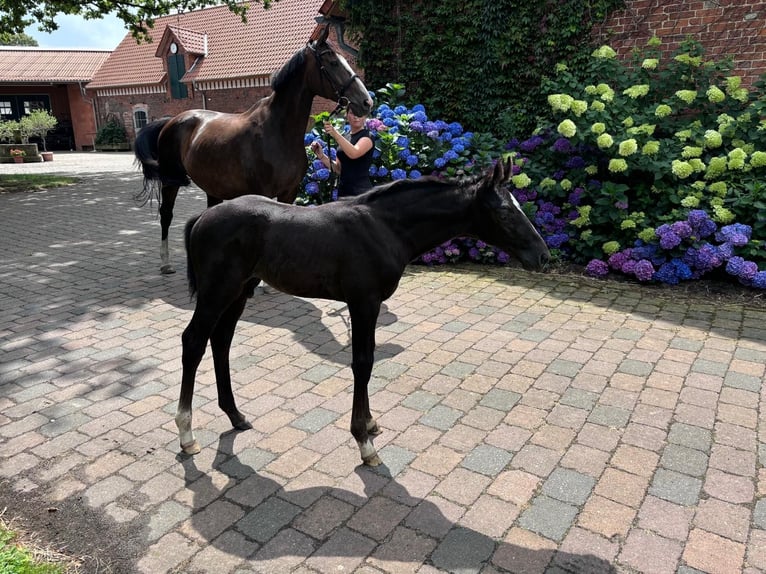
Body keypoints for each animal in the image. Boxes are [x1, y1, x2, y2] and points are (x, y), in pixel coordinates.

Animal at [135, 28, 376, 276]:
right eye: (332, 62)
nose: (366, 102)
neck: (278, 131)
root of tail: (170, 121)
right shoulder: (263, 192)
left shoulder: (289, 191)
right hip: (170, 181)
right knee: (166, 214)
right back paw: (166, 263)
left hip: (212, 183)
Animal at [178, 159, 552, 468]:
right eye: (504, 212)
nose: (543, 256)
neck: (384, 228)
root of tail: (202, 218)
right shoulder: (363, 302)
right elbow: (363, 362)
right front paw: (364, 442)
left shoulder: (367, 306)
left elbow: (368, 358)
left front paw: (370, 424)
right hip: (217, 292)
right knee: (194, 340)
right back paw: (186, 434)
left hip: (240, 290)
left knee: (221, 341)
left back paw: (235, 415)